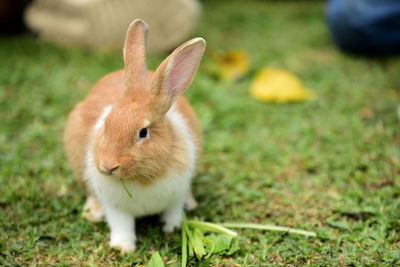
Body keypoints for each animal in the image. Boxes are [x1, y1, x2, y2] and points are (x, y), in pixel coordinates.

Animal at [64, 19, 206, 253]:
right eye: (106, 124)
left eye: (143, 132)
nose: (108, 166)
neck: (142, 178)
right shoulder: (116, 208)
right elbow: (122, 225)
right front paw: (123, 248)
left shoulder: (175, 195)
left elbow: (173, 212)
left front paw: (172, 228)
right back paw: (93, 213)